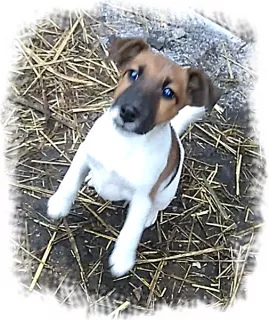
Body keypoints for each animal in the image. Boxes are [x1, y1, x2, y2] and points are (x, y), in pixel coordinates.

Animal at [47, 37, 220, 278]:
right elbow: (69, 182)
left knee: (157, 207)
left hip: (165, 194)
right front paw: (59, 205)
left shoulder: (142, 196)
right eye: (133, 74)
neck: (126, 142)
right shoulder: (84, 154)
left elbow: (131, 230)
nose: (128, 112)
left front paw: (122, 258)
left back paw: (150, 216)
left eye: (168, 93)